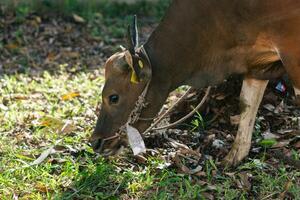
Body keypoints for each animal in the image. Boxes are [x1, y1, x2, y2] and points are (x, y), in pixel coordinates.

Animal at [90, 0, 300, 166]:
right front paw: (235, 156)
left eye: (113, 97)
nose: (95, 142)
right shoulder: (257, 65)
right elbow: (247, 104)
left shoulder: (291, 52)